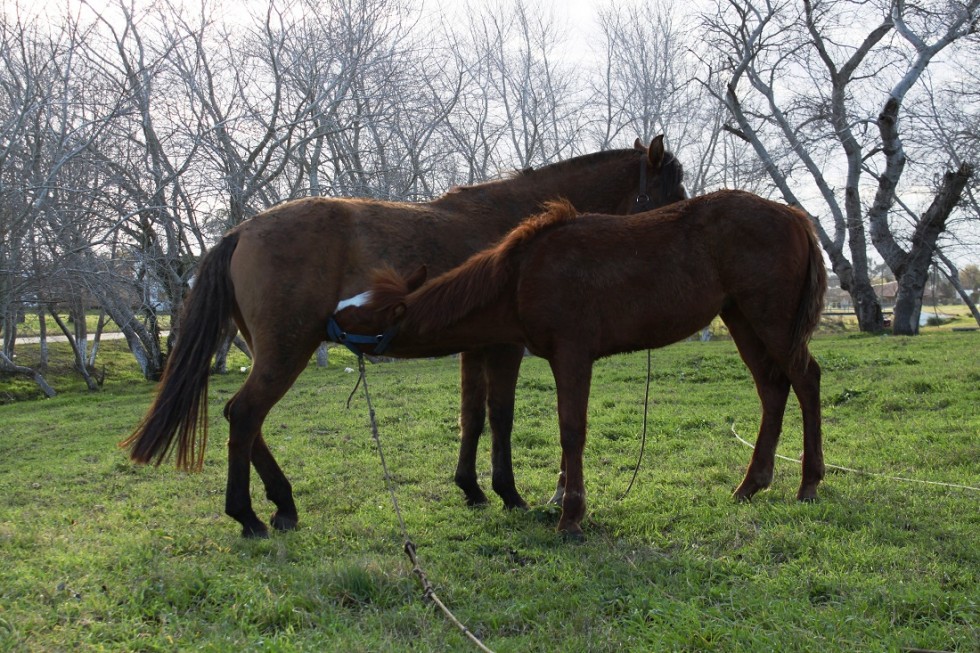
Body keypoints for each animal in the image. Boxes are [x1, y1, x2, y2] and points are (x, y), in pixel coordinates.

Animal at [124, 136, 688, 536]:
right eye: (670, 195)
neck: (517, 223)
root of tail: (243, 230)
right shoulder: (503, 348)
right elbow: (500, 418)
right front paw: (509, 494)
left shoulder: (473, 347)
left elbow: (472, 417)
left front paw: (472, 490)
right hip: (287, 349)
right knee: (244, 415)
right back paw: (249, 516)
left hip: (275, 351)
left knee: (246, 420)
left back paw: (281, 504)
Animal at [334, 191, 828, 536]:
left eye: (364, 314)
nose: (328, 320)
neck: (521, 275)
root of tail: (794, 216)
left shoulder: (572, 356)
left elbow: (571, 430)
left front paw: (570, 515)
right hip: (742, 319)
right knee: (772, 389)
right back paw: (751, 485)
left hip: (770, 320)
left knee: (805, 380)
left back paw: (809, 484)